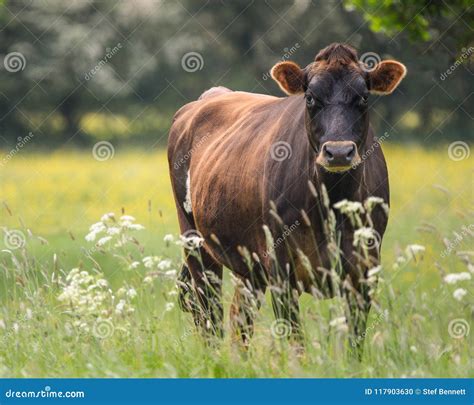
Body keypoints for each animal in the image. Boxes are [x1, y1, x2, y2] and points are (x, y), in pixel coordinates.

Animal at [166, 42, 404, 352]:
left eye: (364, 97)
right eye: (310, 98)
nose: (339, 152)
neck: (331, 204)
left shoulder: (365, 269)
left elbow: (354, 342)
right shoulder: (280, 267)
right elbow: (295, 339)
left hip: (248, 265)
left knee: (239, 319)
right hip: (195, 242)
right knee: (209, 317)